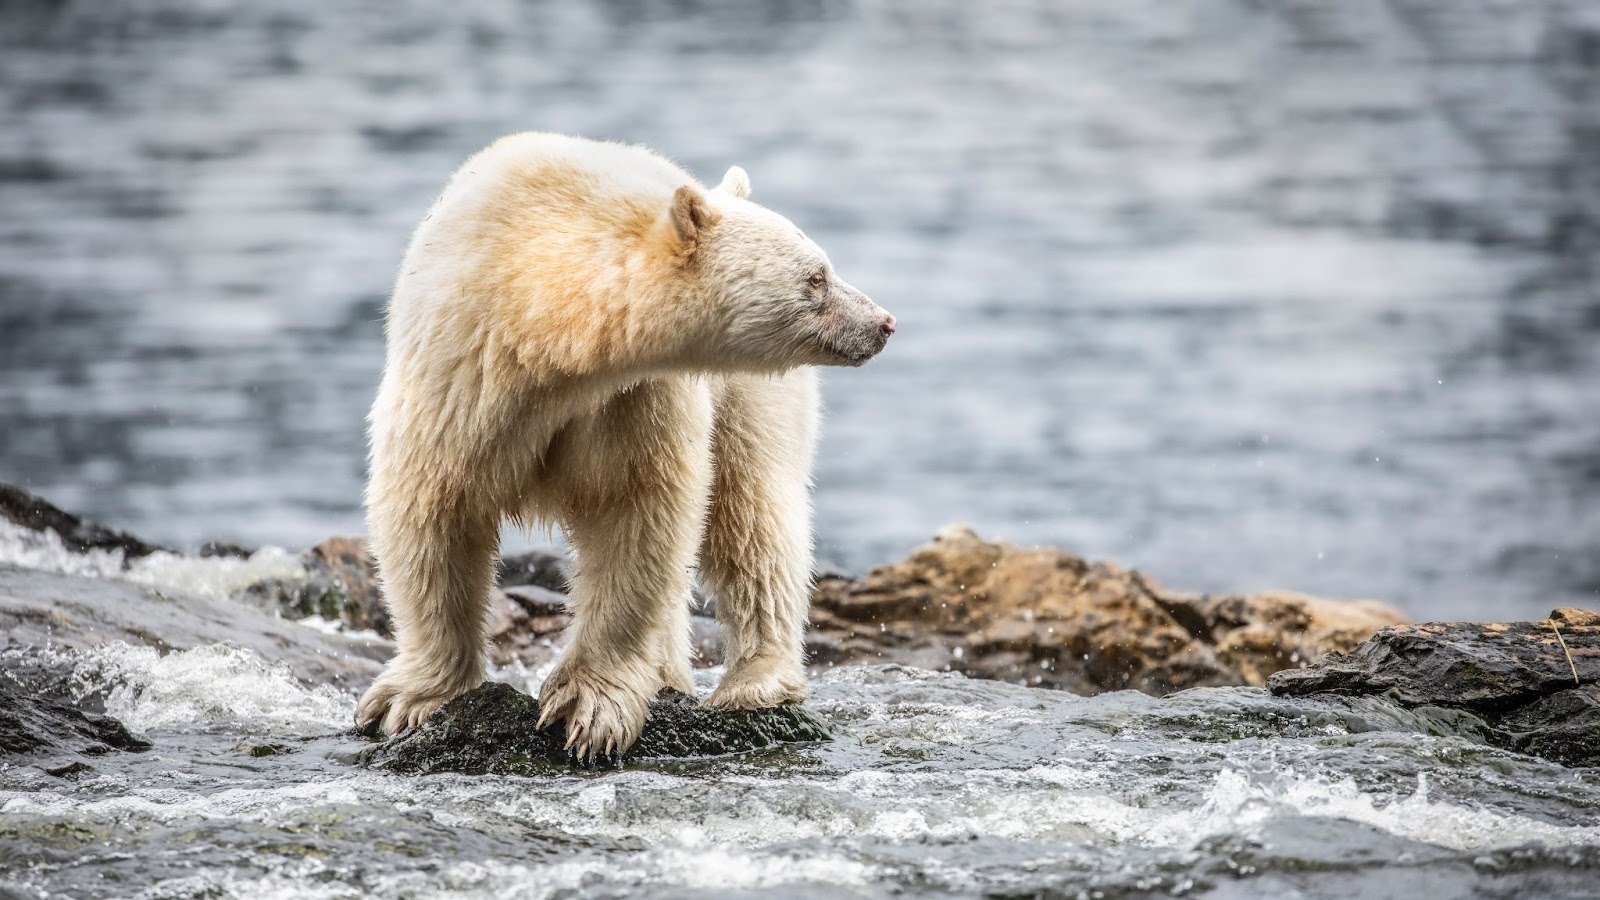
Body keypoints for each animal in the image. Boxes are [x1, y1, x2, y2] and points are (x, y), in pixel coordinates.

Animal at [353, 132, 895, 758]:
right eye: (816, 278)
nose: (883, 322)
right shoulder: (461, 371)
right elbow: (433, 510)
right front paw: (409, 700)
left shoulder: (632, 398)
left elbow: (634, 513)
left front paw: (586, 707)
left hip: (748, 396)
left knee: (753, 516)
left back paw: (752, 683)